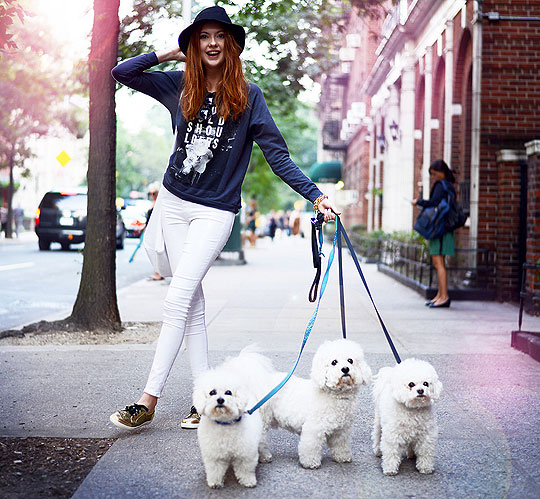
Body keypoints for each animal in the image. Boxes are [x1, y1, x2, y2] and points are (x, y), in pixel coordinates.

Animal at [192, 350, 272, 490]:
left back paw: (265, 456)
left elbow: (245, 470)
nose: (220, 400)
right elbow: (215, 470)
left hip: (260, 437)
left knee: (262, 445)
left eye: (228, 392)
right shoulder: (214, 456)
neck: (224, 424)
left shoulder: (245, 454)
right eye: (212, 392)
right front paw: (215, 483)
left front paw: (248, 482)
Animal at [264, 338, 372, 470]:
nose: (345, 369)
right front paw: (310, 463)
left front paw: (342, 457)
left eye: (350, 360)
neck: (335, 396)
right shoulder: (313, 429)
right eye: (334, 362)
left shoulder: (341, 430)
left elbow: (340, 445)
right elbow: (311, 447)